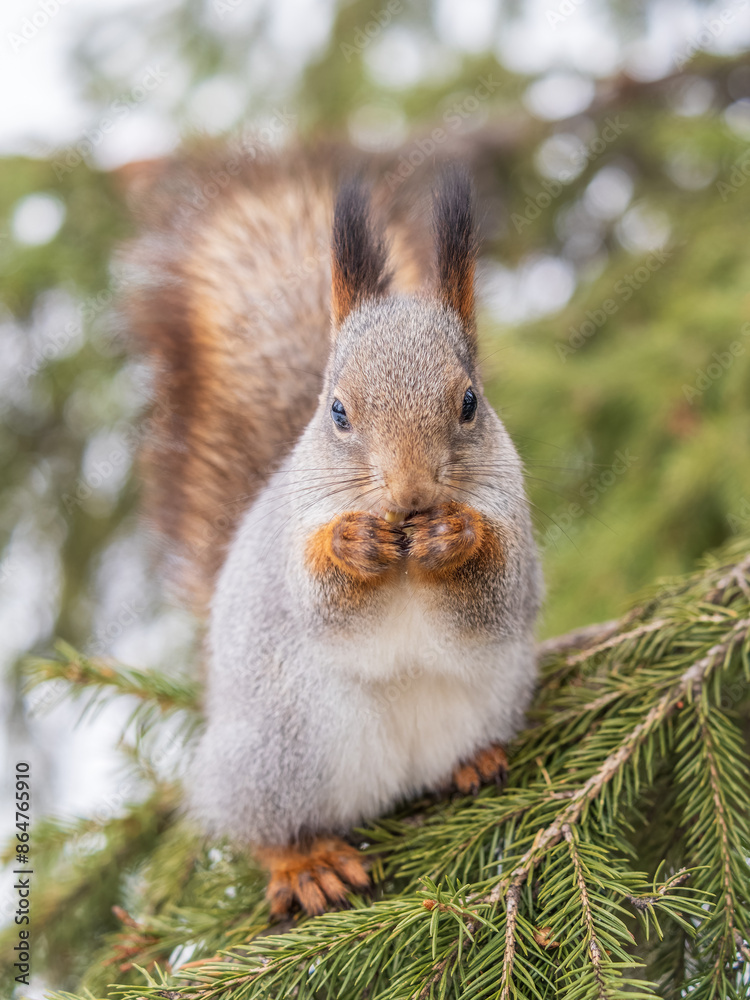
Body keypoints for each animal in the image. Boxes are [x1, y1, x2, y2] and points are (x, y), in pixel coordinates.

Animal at [122, 145, 542, 918]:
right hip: (279, 753)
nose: (411, 495)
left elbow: (495, 596)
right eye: (338, 411)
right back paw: (305, 864)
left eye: (470, 402)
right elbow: (322, 603)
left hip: (491, 696)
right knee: (258, 826)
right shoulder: (295, 534)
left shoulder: (516, 519)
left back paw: (475, 762)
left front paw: (456, 538)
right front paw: (353, 548)